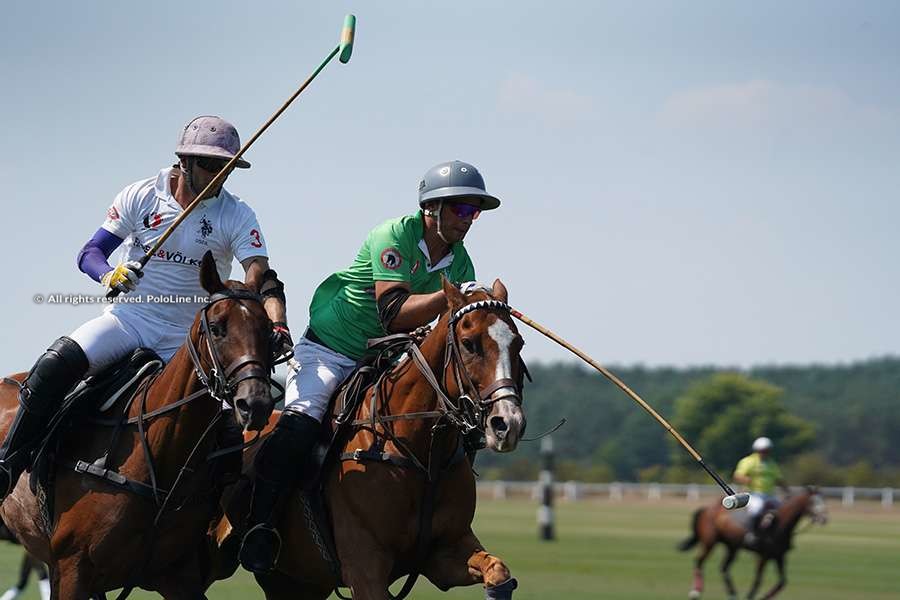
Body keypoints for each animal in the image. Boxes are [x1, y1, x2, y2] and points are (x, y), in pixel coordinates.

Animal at [0, 254, 278, 600]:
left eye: (269, 330)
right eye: (216, 327)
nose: (255, 403)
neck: (160, 459)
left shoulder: (178, 576)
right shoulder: (71, 569)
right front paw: (121, 276)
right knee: (63, 355)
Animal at [211, 278, 528, 600]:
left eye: (518, 343)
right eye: (469, 343)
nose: (508, 423)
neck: (419, 452)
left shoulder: (446, 552)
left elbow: (498, 571)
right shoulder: (364, 568)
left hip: (295, 581)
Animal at [680, 488, 828, 600]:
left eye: (823, 500)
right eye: (813, 502)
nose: (824, 519)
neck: (780, 525)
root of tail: (707, 508)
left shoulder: (779, 556)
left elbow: (782, 582)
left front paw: (765, 596)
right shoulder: (762, 556)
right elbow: (758, 580)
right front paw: (751, 596)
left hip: (732, 546)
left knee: (724, 568)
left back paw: (733, 594)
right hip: (710, 542)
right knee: (699, 561)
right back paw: (696, 591)